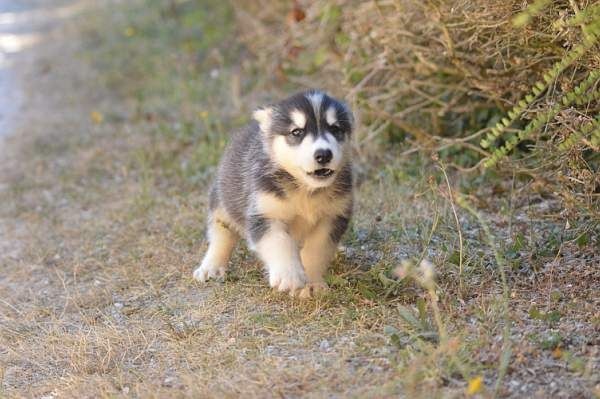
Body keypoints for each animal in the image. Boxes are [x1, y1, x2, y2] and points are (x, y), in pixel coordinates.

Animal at [192, 90, 354, 296]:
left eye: (335, 129)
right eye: (297, 132)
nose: (324, 155)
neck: (305, 190)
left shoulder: (333, 217)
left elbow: (317, 250)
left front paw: (312, 284)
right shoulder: (264, 213)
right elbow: (279, 242)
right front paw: (289, 276)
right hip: (223, 204)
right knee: (221, 236)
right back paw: (210, 267)